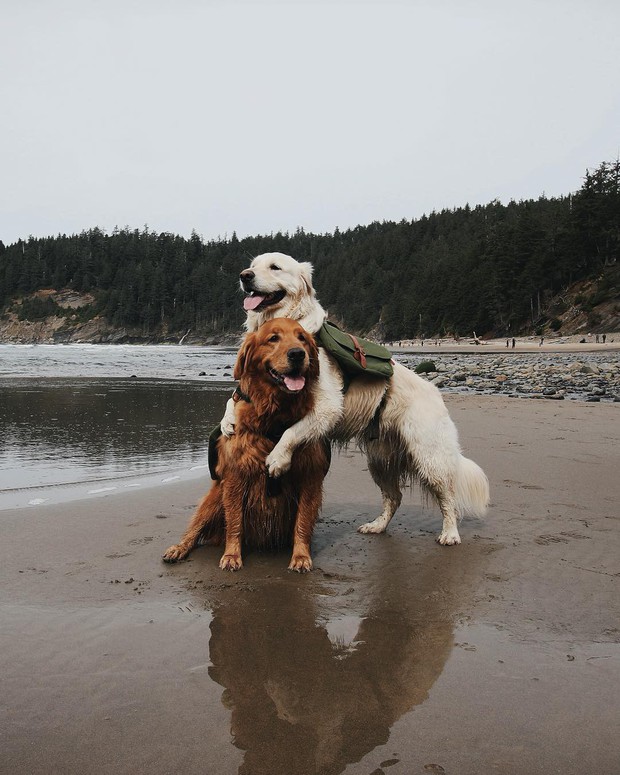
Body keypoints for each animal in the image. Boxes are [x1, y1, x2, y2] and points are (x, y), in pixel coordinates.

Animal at [162, 318, 332, 572]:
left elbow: (302, 522)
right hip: (214, 498)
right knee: (194, 529)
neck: (275, 417)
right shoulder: (235, 476)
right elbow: (234, 522)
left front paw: (301, 556)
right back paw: (179, 548)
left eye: (302, 338)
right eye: (273, 338)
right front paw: (232, 555)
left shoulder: (309, 477)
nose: (297, 354)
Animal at [222, 252, 490, 544]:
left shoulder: (327, 407)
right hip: (379, 461)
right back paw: (377, 526)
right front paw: (228, 421)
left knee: (447, 496)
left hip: (430, 456)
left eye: (275, 267)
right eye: (253, 265)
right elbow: (233, 399)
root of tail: (437, 395)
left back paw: (450, 533)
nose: (245, 276)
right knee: (394, 497)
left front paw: (277, 459)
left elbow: (292, 431)